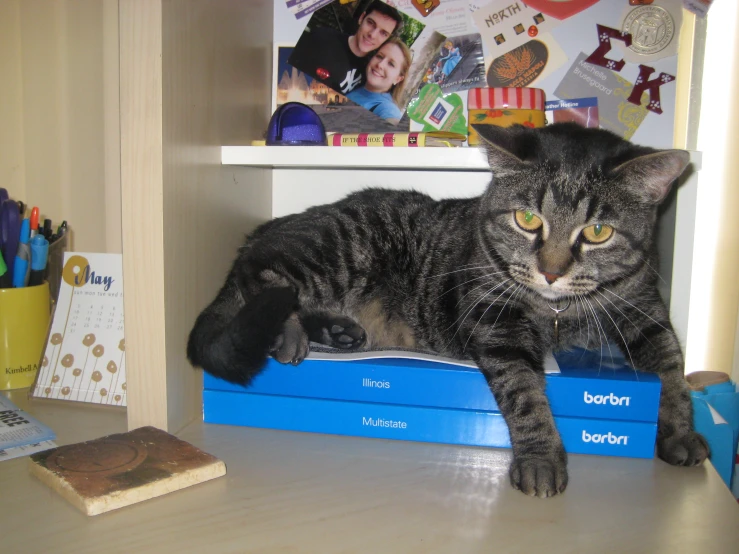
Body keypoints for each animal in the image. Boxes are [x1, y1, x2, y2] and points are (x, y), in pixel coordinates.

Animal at [188, 124, 708, 496]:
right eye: (528, 219)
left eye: (598, 232)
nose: (551, 272)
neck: (559, 314)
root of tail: (269, 226)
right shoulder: (494, 319)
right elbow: (525, 391)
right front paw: (540, 457)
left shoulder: (646, 310)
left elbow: (672, 369)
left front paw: (680, 432)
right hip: (337, 248)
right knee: (263, 273)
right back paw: (291, 330)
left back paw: (337, 331)